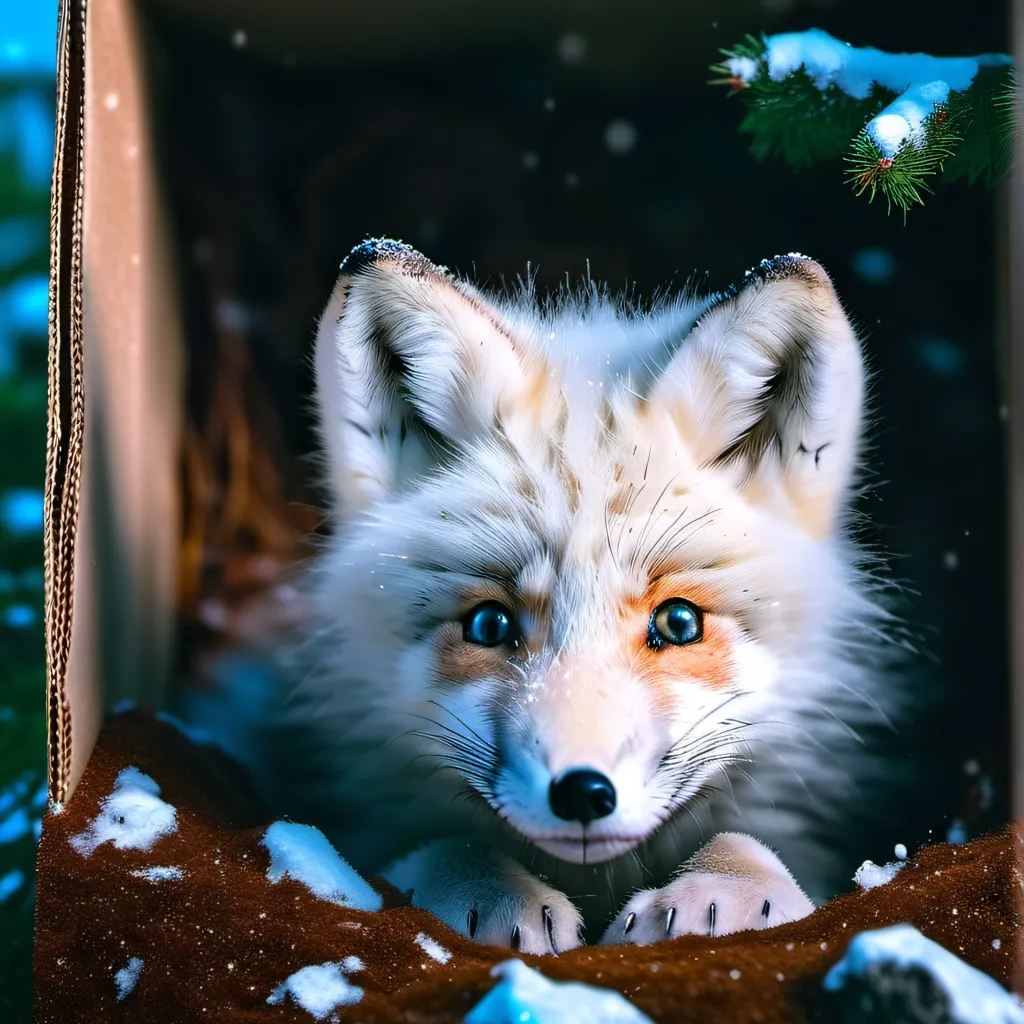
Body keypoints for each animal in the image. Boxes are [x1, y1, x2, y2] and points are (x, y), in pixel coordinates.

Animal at [272, 236, 901, 954]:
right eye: (489, 626)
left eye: (679, 623)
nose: (581, 794)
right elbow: (444, 847)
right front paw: (492, 894)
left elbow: (748, 845)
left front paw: (721, 893)